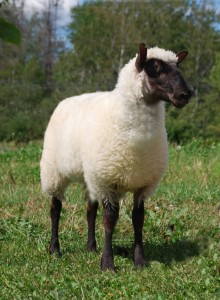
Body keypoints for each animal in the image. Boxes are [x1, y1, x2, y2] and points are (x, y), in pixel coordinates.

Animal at [40, 42, 192, 272]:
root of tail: (67, 100)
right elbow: (110, 220)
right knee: (55, 209)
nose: (185, 94)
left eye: (178, 66)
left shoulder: (142, 184)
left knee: (90, 210)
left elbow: (138, 219)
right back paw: (55, 249)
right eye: (154, 67)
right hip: (55, 171)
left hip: (90, 175)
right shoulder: (108, 181)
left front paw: (140, 261)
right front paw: (108, 264)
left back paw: (91, 247)